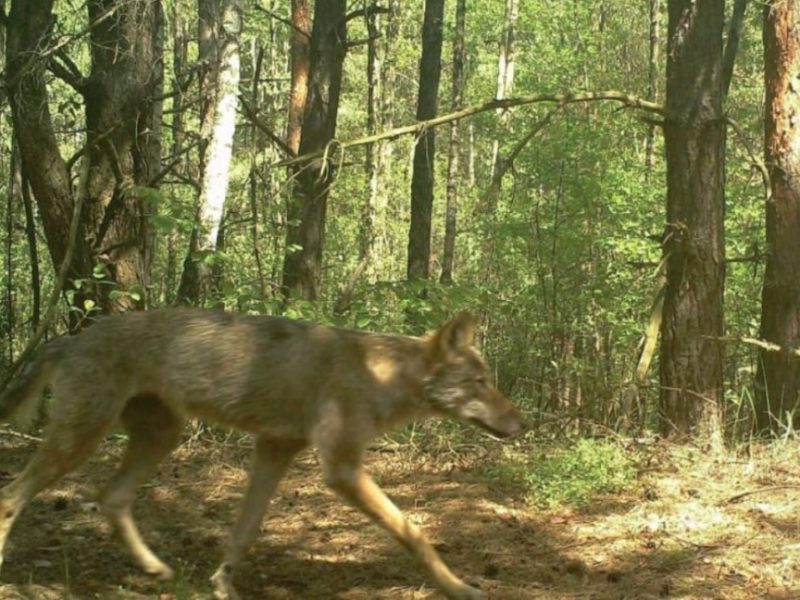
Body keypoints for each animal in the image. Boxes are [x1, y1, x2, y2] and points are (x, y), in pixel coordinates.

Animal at [0, 308, 524, 596]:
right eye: (481, 382)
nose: (523, 422)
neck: (381, 377)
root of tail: (73, 337)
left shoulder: (275, 449)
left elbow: (245, 530)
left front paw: (222, 585)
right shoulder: (340, 468)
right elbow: (415, 532)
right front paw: (460, 588)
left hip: (160, 436)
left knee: (111, 499)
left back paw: (154, 567)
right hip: (81, 439)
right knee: (12, 496)